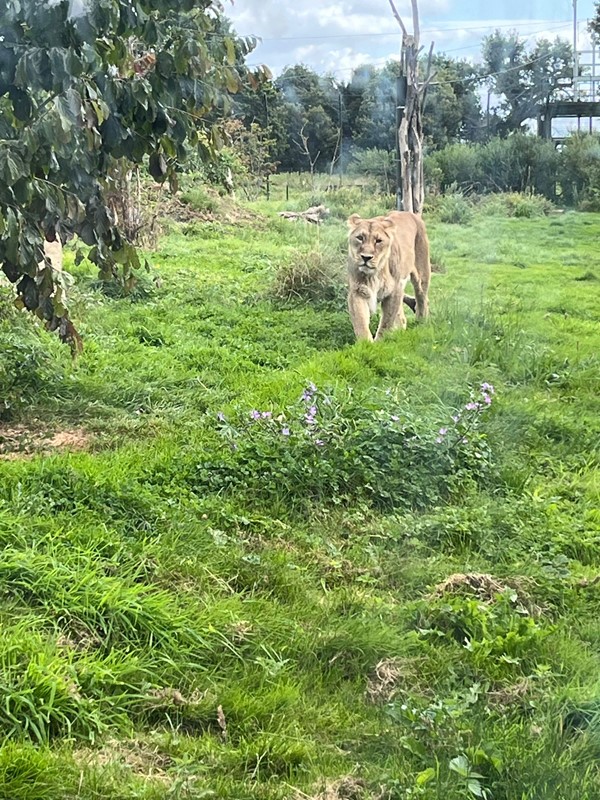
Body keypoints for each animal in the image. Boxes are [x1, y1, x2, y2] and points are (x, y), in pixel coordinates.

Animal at [346, 209, 432, 340]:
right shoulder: (357, 291)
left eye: (378, 241)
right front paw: (366, 343)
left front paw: (381, 342)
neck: (374, 274)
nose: (366, 257)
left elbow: (386, 323)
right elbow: (360, 322)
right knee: (402, 317)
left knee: (422, 298)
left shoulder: (394, 291)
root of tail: (409, 213)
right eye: (360, 238)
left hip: (421, 275)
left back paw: (420, 321)